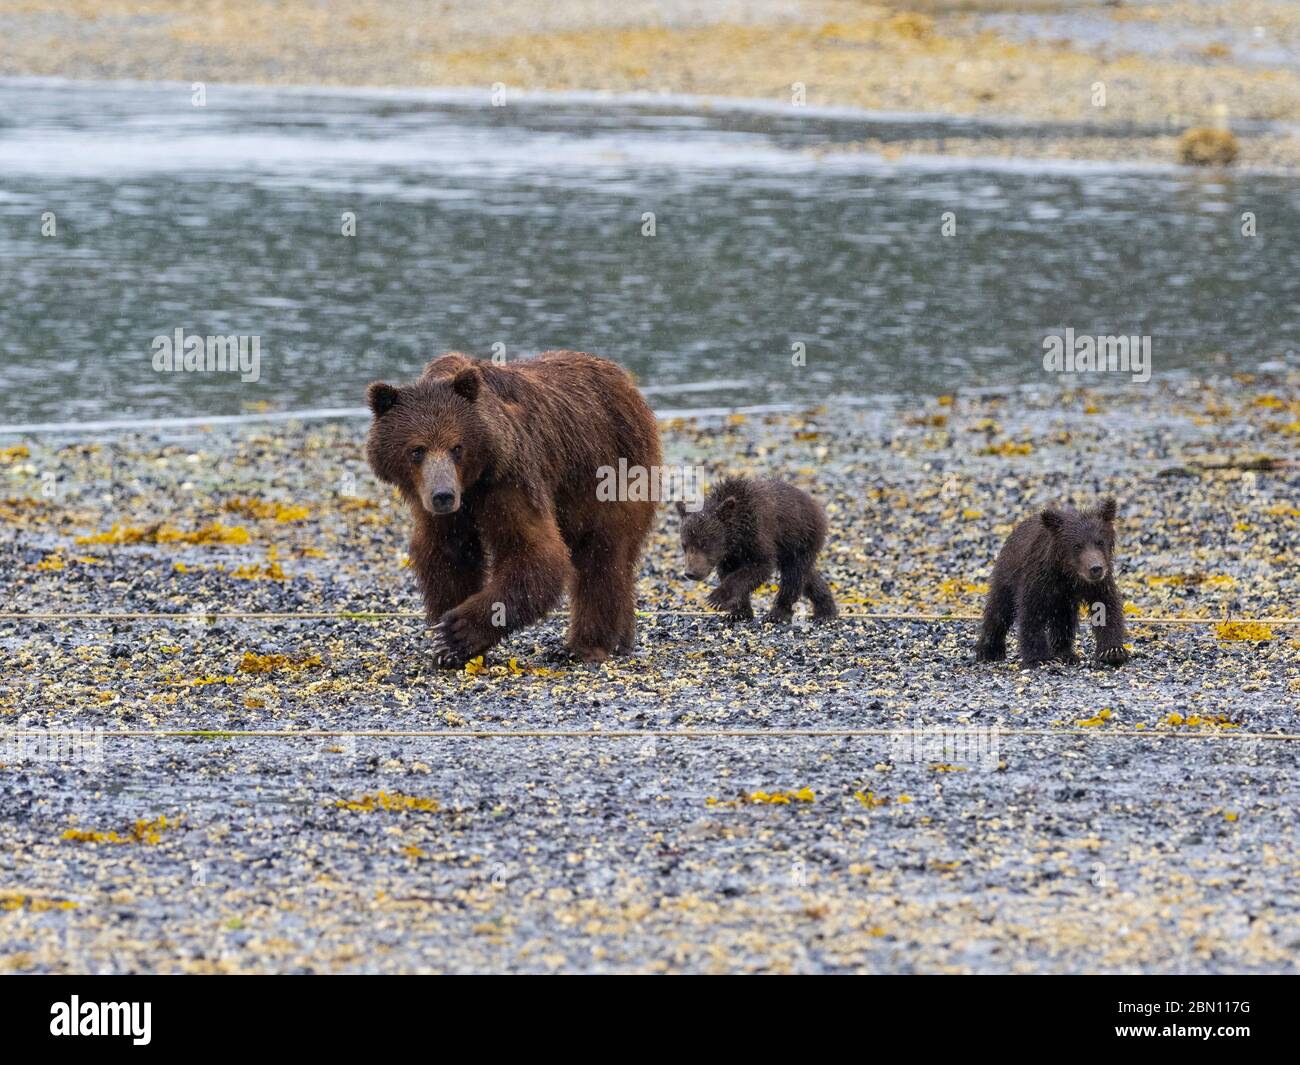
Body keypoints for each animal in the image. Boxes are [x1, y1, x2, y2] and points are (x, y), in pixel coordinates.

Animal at [366, 350, 661, 667]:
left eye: (457, 447)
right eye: (417, 449)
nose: (443, 495)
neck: (473, 484)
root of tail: (626, 383)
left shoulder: (511, 478)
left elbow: (534, 553)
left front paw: (456, 632)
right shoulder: (438, 505)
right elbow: (448, 554)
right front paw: (446, 646)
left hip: (610, 474)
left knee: (602, 556)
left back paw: (583, 646)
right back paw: (622, 640)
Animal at [675, 476, 837, 624]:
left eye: (704, 544)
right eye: (684, 545)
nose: (690, 573)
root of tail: (815, 505)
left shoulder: (758, 533)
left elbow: (759, 566)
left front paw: (715, 599)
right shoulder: (730, 554)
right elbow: (729, 572)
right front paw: (738, 612)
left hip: (801, 537)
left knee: (793, 574)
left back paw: (777, 613)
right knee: (807, 575)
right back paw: (826, 610)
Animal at [975, 497, 1130, 668]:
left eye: (1100, 542)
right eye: (1077, 545)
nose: (1096, 568)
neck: (1070, 575)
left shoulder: (1099, 584)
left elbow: (1107, 608)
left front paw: (1112, 651)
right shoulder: (1039, 579)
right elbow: (1031, 614)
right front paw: (1041, 658)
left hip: (1062, 601)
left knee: (1063, 620)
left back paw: (1065, 654)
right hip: (1007, 574)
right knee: (999, 609)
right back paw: (989, 650)